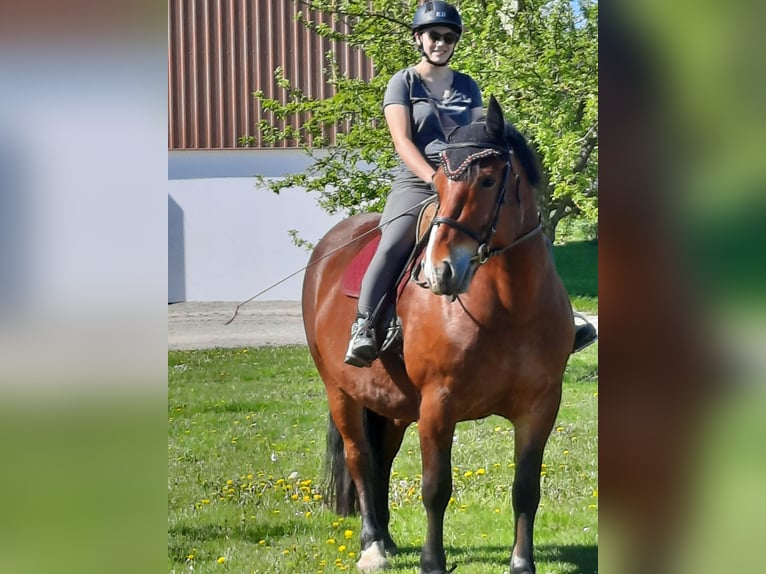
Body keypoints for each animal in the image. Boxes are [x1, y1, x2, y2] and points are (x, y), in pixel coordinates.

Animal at [302, 97, 576, 572]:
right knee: (359, 457)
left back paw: (387, 539)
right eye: (440, 181)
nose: (441, 272)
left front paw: (522, 562)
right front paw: (432, 561)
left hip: (391, 404)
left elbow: (526, 488)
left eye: (488, 179)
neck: (510, 306)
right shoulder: (438, 404)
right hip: (341, 391)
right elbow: (435, 488)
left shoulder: (540, 406)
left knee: (381, 459)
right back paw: (372, 546)